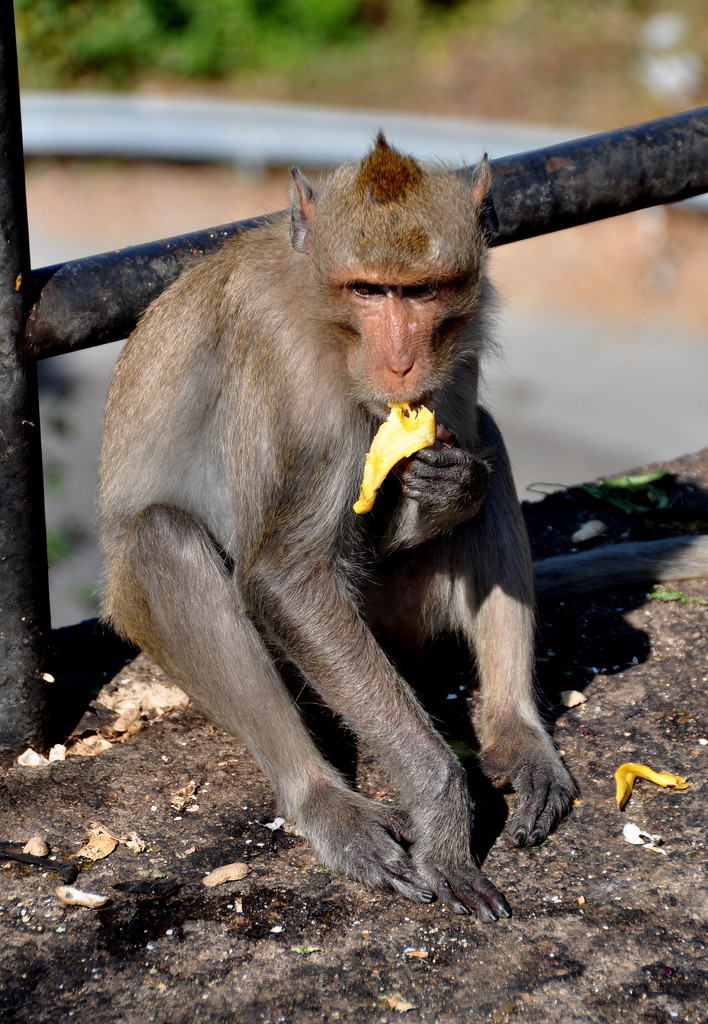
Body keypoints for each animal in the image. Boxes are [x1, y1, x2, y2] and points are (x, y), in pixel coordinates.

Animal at [99, 132, 708, 925]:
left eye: (420, 292)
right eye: (368, 291)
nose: (400, 360)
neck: (325, 310)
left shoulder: (458, 344)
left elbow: (463, 456)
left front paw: (451, 489)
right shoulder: (286, 361)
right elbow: (285, 577)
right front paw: (443, 809)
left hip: (402, 615)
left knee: (491, 438)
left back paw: (516, 730)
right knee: (162, 539)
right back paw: (323, 801)